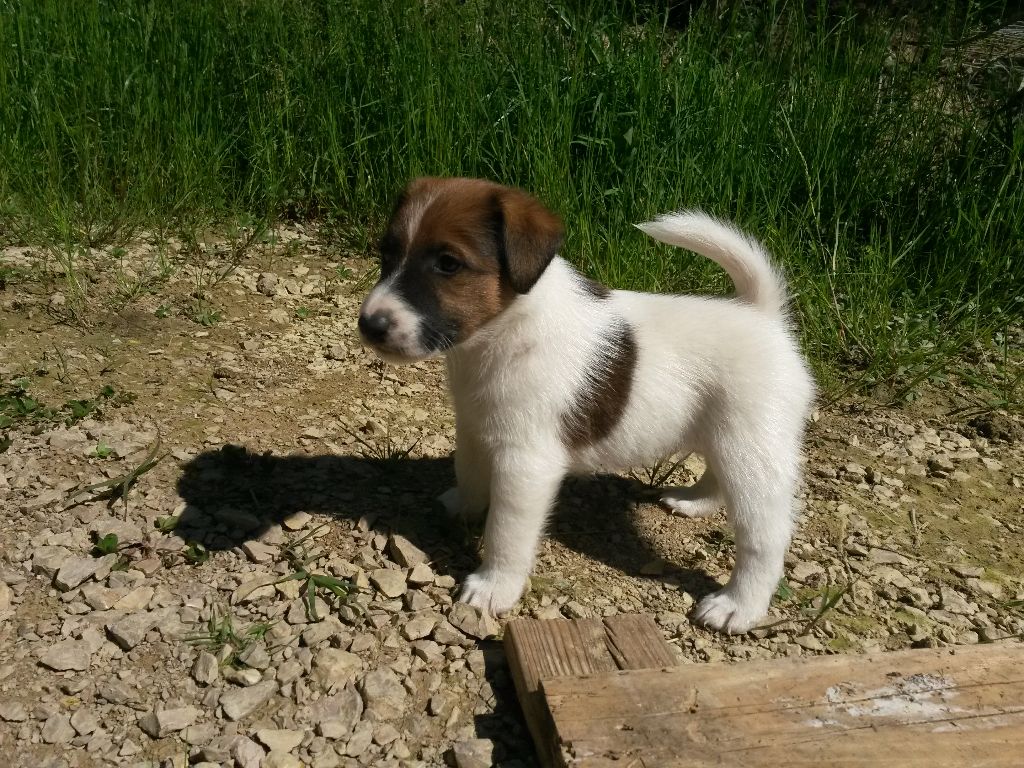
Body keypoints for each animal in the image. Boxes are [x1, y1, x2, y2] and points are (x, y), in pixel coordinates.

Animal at [357, 177, 814, 634]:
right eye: (387, 253)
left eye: (448, 264)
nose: (369, 325)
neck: (509, 328)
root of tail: (763, 317)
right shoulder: (473, 427)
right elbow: (468, 475)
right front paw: (461, 508)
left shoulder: (526, 462)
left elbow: (506, 532)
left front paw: (493, 587)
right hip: (727, 439)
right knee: (718, 477)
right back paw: (693, 501)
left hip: (751, 449)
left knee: (765, 538)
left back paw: (738, 605)